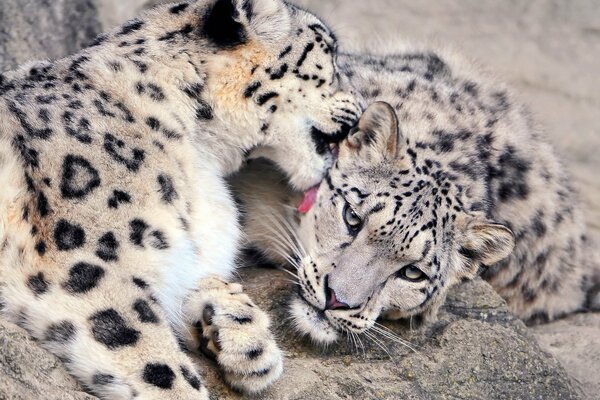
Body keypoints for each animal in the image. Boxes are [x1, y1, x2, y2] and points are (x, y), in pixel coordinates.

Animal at [0, 1, 360, 398]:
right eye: (329, 51)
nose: (361, 107)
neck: (202, 157)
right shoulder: (87, 266)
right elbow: (156, 361)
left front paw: (248, 338)